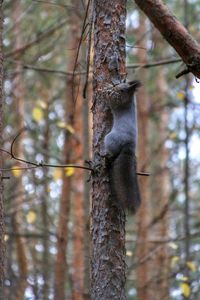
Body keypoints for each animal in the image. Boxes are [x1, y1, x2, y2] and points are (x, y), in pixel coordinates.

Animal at [104, 78, 141, 212]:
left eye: (122, 90)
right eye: (119, 84)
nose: (114, 88)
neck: (129, 100)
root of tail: (129, 144)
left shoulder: (118, 103)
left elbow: (111, 101)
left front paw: (106, 90)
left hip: (109, 139)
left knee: (112, 153)